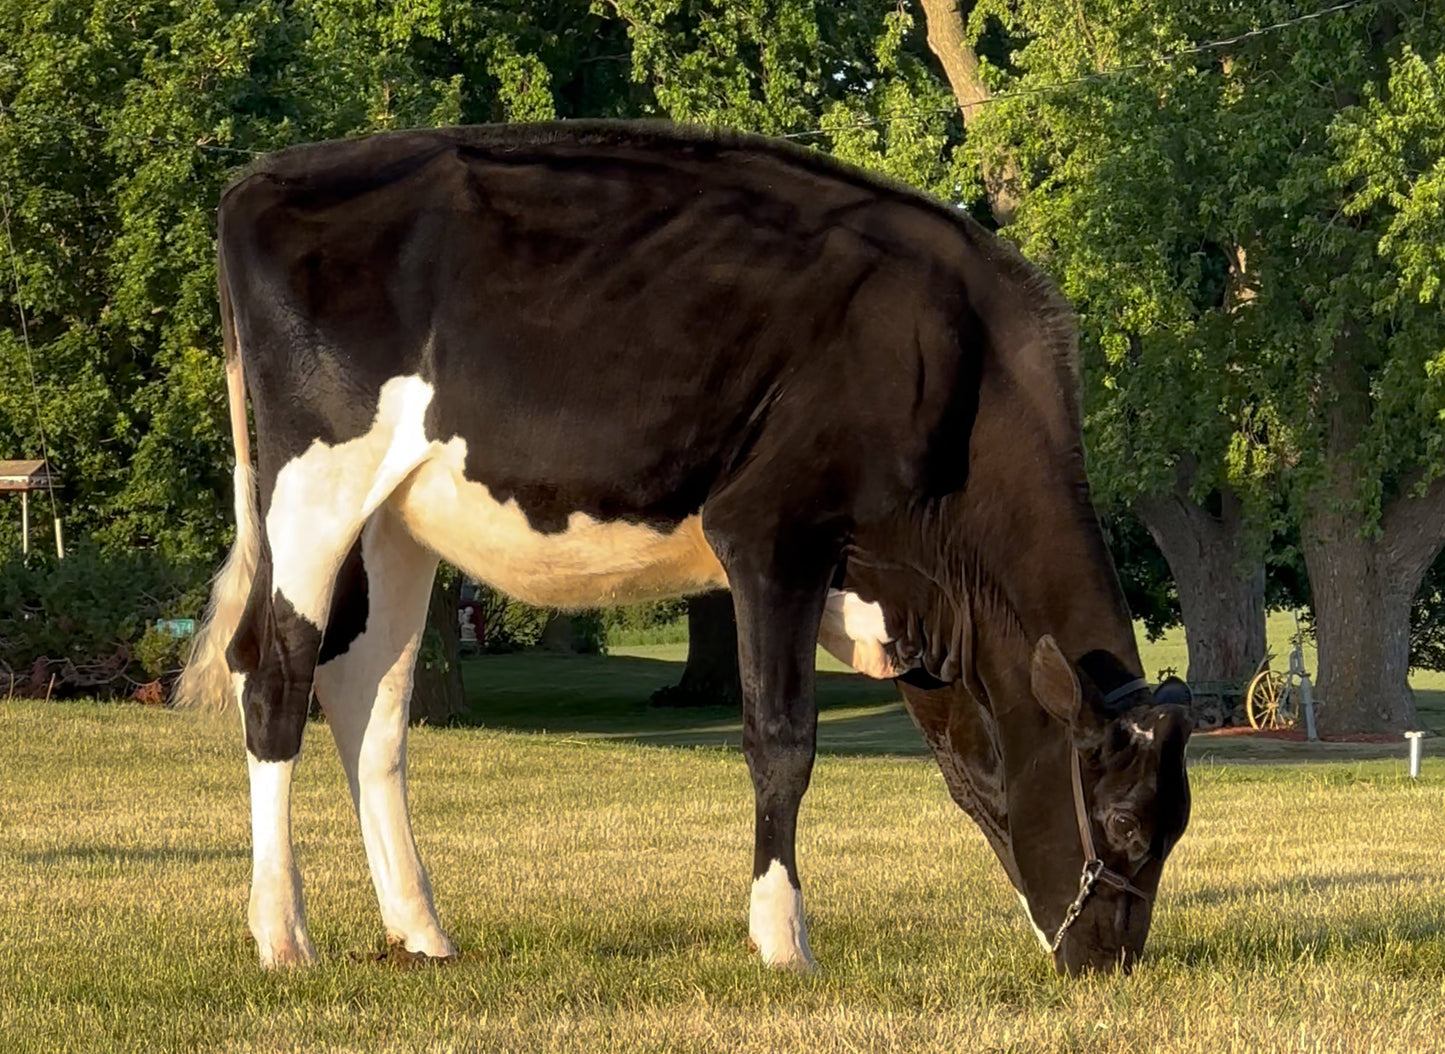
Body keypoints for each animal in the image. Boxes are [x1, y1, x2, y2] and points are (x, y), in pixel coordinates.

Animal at [177, 121, 1192, 976]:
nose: (1108, 964)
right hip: (313, 486)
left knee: (368, 703)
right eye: (1127, 827)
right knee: (273, 678)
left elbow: (972, 773)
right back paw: (283, 935)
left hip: (395, 517)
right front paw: (782, 941)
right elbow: (782, 739)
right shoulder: (772, 529)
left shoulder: (911, 608)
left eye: (1173, 831)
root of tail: (265, 174)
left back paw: (421, 930)